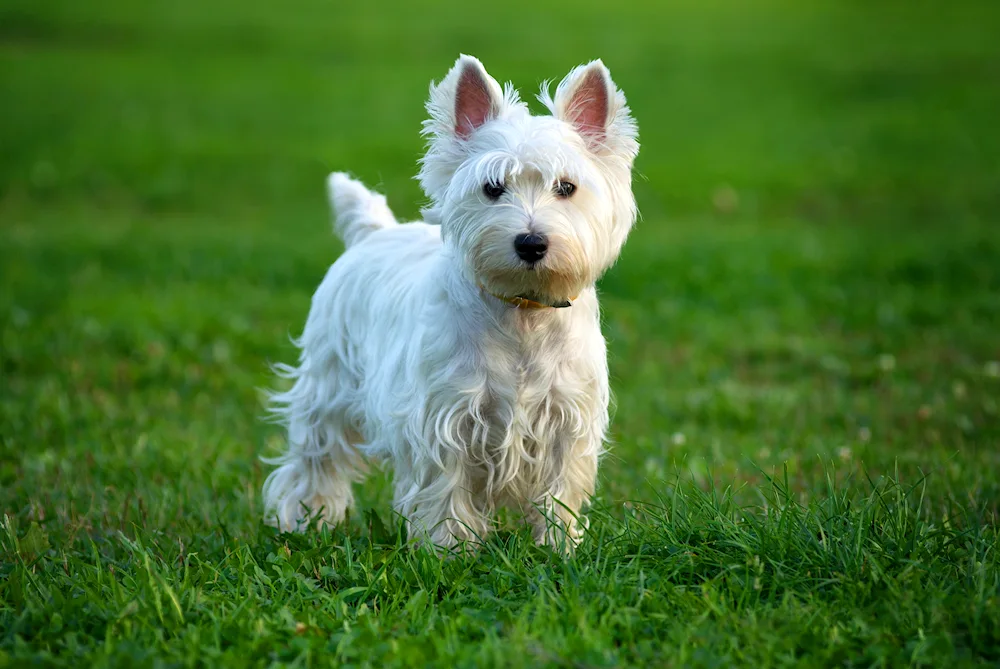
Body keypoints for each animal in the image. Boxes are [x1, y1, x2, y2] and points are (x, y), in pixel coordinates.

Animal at [264, 54, 640, 552]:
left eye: (566, 187)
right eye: (493, 187)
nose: (531, 243)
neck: (522, 311)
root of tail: (374, 232)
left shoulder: (566, 420)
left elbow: (560, 490)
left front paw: (560, 547)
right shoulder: (445, 418)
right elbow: (447, 487)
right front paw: (449, 549)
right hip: (327, 385)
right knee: (315, 458)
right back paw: (306, 522)